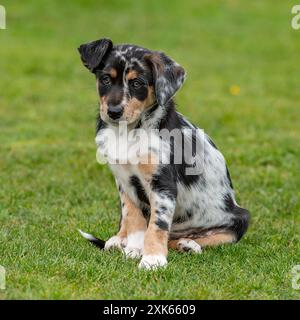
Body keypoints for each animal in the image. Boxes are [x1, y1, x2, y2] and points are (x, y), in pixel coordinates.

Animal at [77, 38, 248, 270]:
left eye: (137, 83)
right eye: (105, 79)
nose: (113, 112)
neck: (129, 132)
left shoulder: (163, 184)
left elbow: (157, 226)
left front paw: (152, 259)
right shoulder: (125, 182)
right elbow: (133, 218)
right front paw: (134, 249)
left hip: (240, 218)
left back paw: (189, 245)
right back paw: (118, 240)